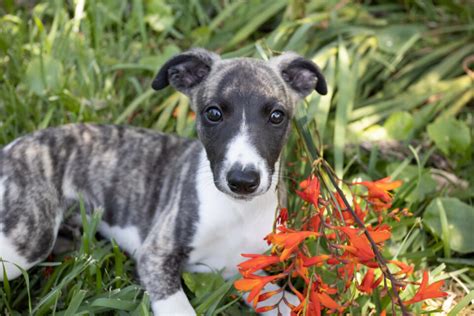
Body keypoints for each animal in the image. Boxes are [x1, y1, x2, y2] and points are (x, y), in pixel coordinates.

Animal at [0, 48, 326, 314]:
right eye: (213, 113)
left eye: (277, 116)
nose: (243, 180)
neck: (237, 211)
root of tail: (12, 148)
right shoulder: (156, 256)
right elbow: (179, 307)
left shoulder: (245, 272)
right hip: (27, 241)